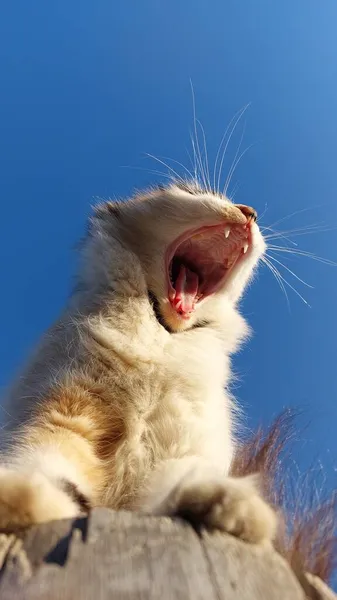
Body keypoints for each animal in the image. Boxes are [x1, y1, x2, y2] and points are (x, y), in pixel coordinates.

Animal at [0, 183, 276, 544]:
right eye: (191, 190)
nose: (250, 212)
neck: (160, 332)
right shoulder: (63, 413)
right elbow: (48, 469)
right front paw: (18, 497)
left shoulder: (180, 441)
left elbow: (179, 480)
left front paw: (229, 504)